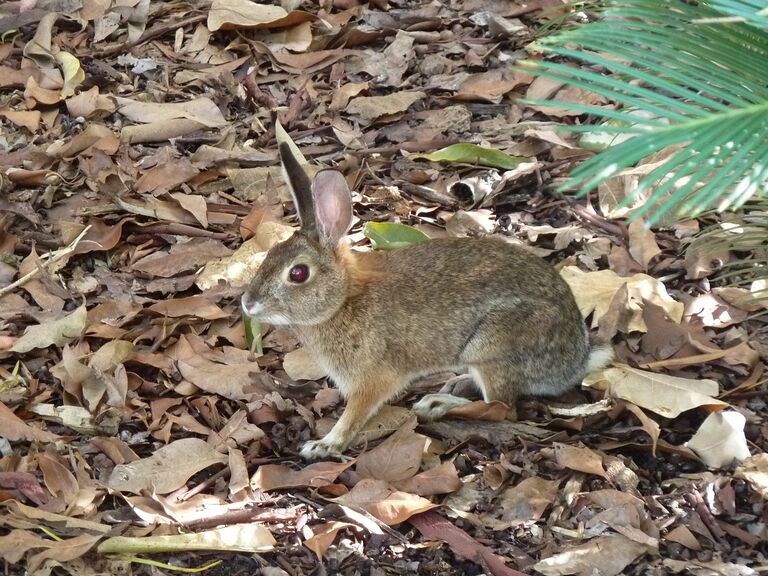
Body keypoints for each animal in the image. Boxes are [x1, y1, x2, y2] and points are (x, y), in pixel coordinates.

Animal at [240, 143, 612, 460]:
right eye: (269, 255)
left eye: (298, 273)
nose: (248, 303)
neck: (344, 298)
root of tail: (575, 361)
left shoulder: (373, 379)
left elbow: (355, 414)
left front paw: (324, 445)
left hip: (495, 347)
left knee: (501, 407)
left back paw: (436, 404)